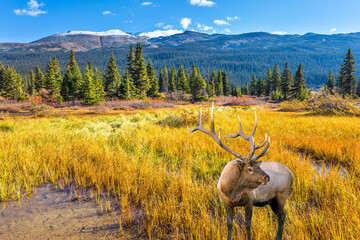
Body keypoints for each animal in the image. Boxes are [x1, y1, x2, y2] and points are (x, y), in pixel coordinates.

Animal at [188, 103, 292, 240]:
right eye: (250, 169)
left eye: (258, 166)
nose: (267, 177)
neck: (232, 192)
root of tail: (291, 174)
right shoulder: (226, 203)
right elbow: (229, 224)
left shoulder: (250, 201)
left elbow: (248, 225)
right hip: (273, 200)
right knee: (281, 216)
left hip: (281, 196)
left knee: (283, 216)